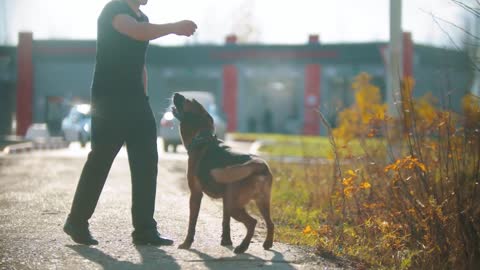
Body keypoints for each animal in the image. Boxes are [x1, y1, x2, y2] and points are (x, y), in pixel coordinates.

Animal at [173, 92, 276, 253]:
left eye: (188, 100)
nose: (176, 93)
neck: (202, 137)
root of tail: (259, 165)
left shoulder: (196, 194)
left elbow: (192, 223)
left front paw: (187, 243)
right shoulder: (226, 199)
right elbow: (225, 222)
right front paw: (226, 241)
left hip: (235, 206)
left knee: (252, 222)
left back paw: (243, 246)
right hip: (261, 202)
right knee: (270, 223)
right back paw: (267, 243)